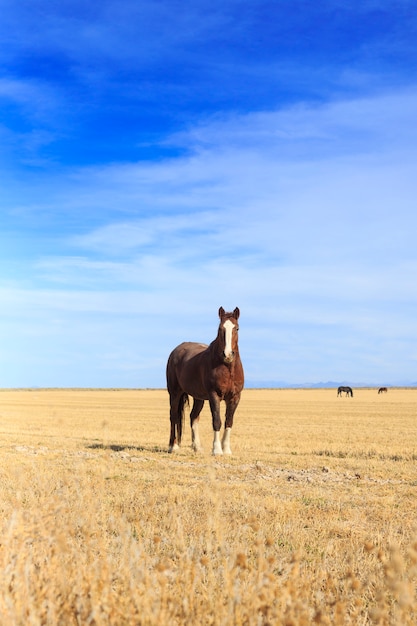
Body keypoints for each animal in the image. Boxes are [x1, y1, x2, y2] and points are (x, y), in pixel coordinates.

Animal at [166, 306, 244, 454]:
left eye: (236, 328)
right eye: (220, 328)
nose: (227, 354)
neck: (227, 367)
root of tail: (175, 351)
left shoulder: (235, 397)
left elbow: (229, 421)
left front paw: (226, 450)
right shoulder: (214, 395)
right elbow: (217, 421)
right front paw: (217, 450)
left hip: (198, 397)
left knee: (193, 416)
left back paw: (197, 447)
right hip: (175, 393)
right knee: (174, 416)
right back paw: (173, 446)